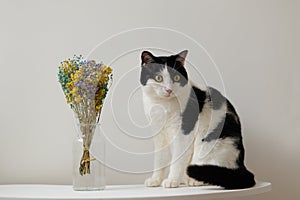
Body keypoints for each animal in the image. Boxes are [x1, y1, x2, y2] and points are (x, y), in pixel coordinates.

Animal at [141, 50, 255, 189]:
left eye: (176, 78)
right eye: (159, 78)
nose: (169, 90)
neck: (162, 105)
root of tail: (241, 164)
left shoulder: (183, 133)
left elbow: (177, 160)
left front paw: (172, 180)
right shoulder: (159, 135)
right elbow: (160, 160)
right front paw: (155, 180)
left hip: (210, 143)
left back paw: (193, 180)